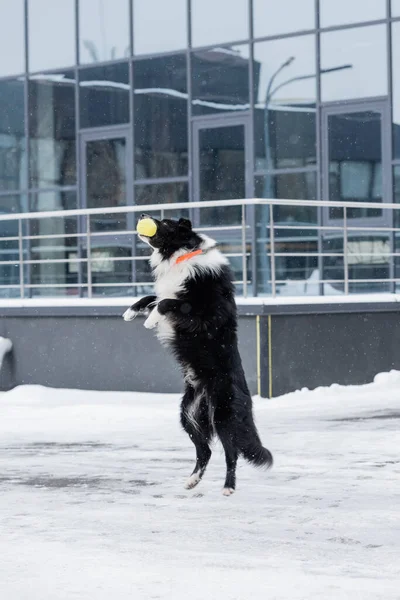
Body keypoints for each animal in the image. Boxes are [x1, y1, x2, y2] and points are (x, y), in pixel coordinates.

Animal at [122, 213, 272, 494]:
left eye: (165, 223)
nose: (143, 216)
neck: (182, 255)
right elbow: (153, 297)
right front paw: (131, 310)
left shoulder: (202, 316)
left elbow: (166, 302)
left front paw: (149, 320)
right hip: (188, 416)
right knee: (205, 451)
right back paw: (192, 480)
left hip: (223, 416)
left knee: (231, 453)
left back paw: (228, 487)